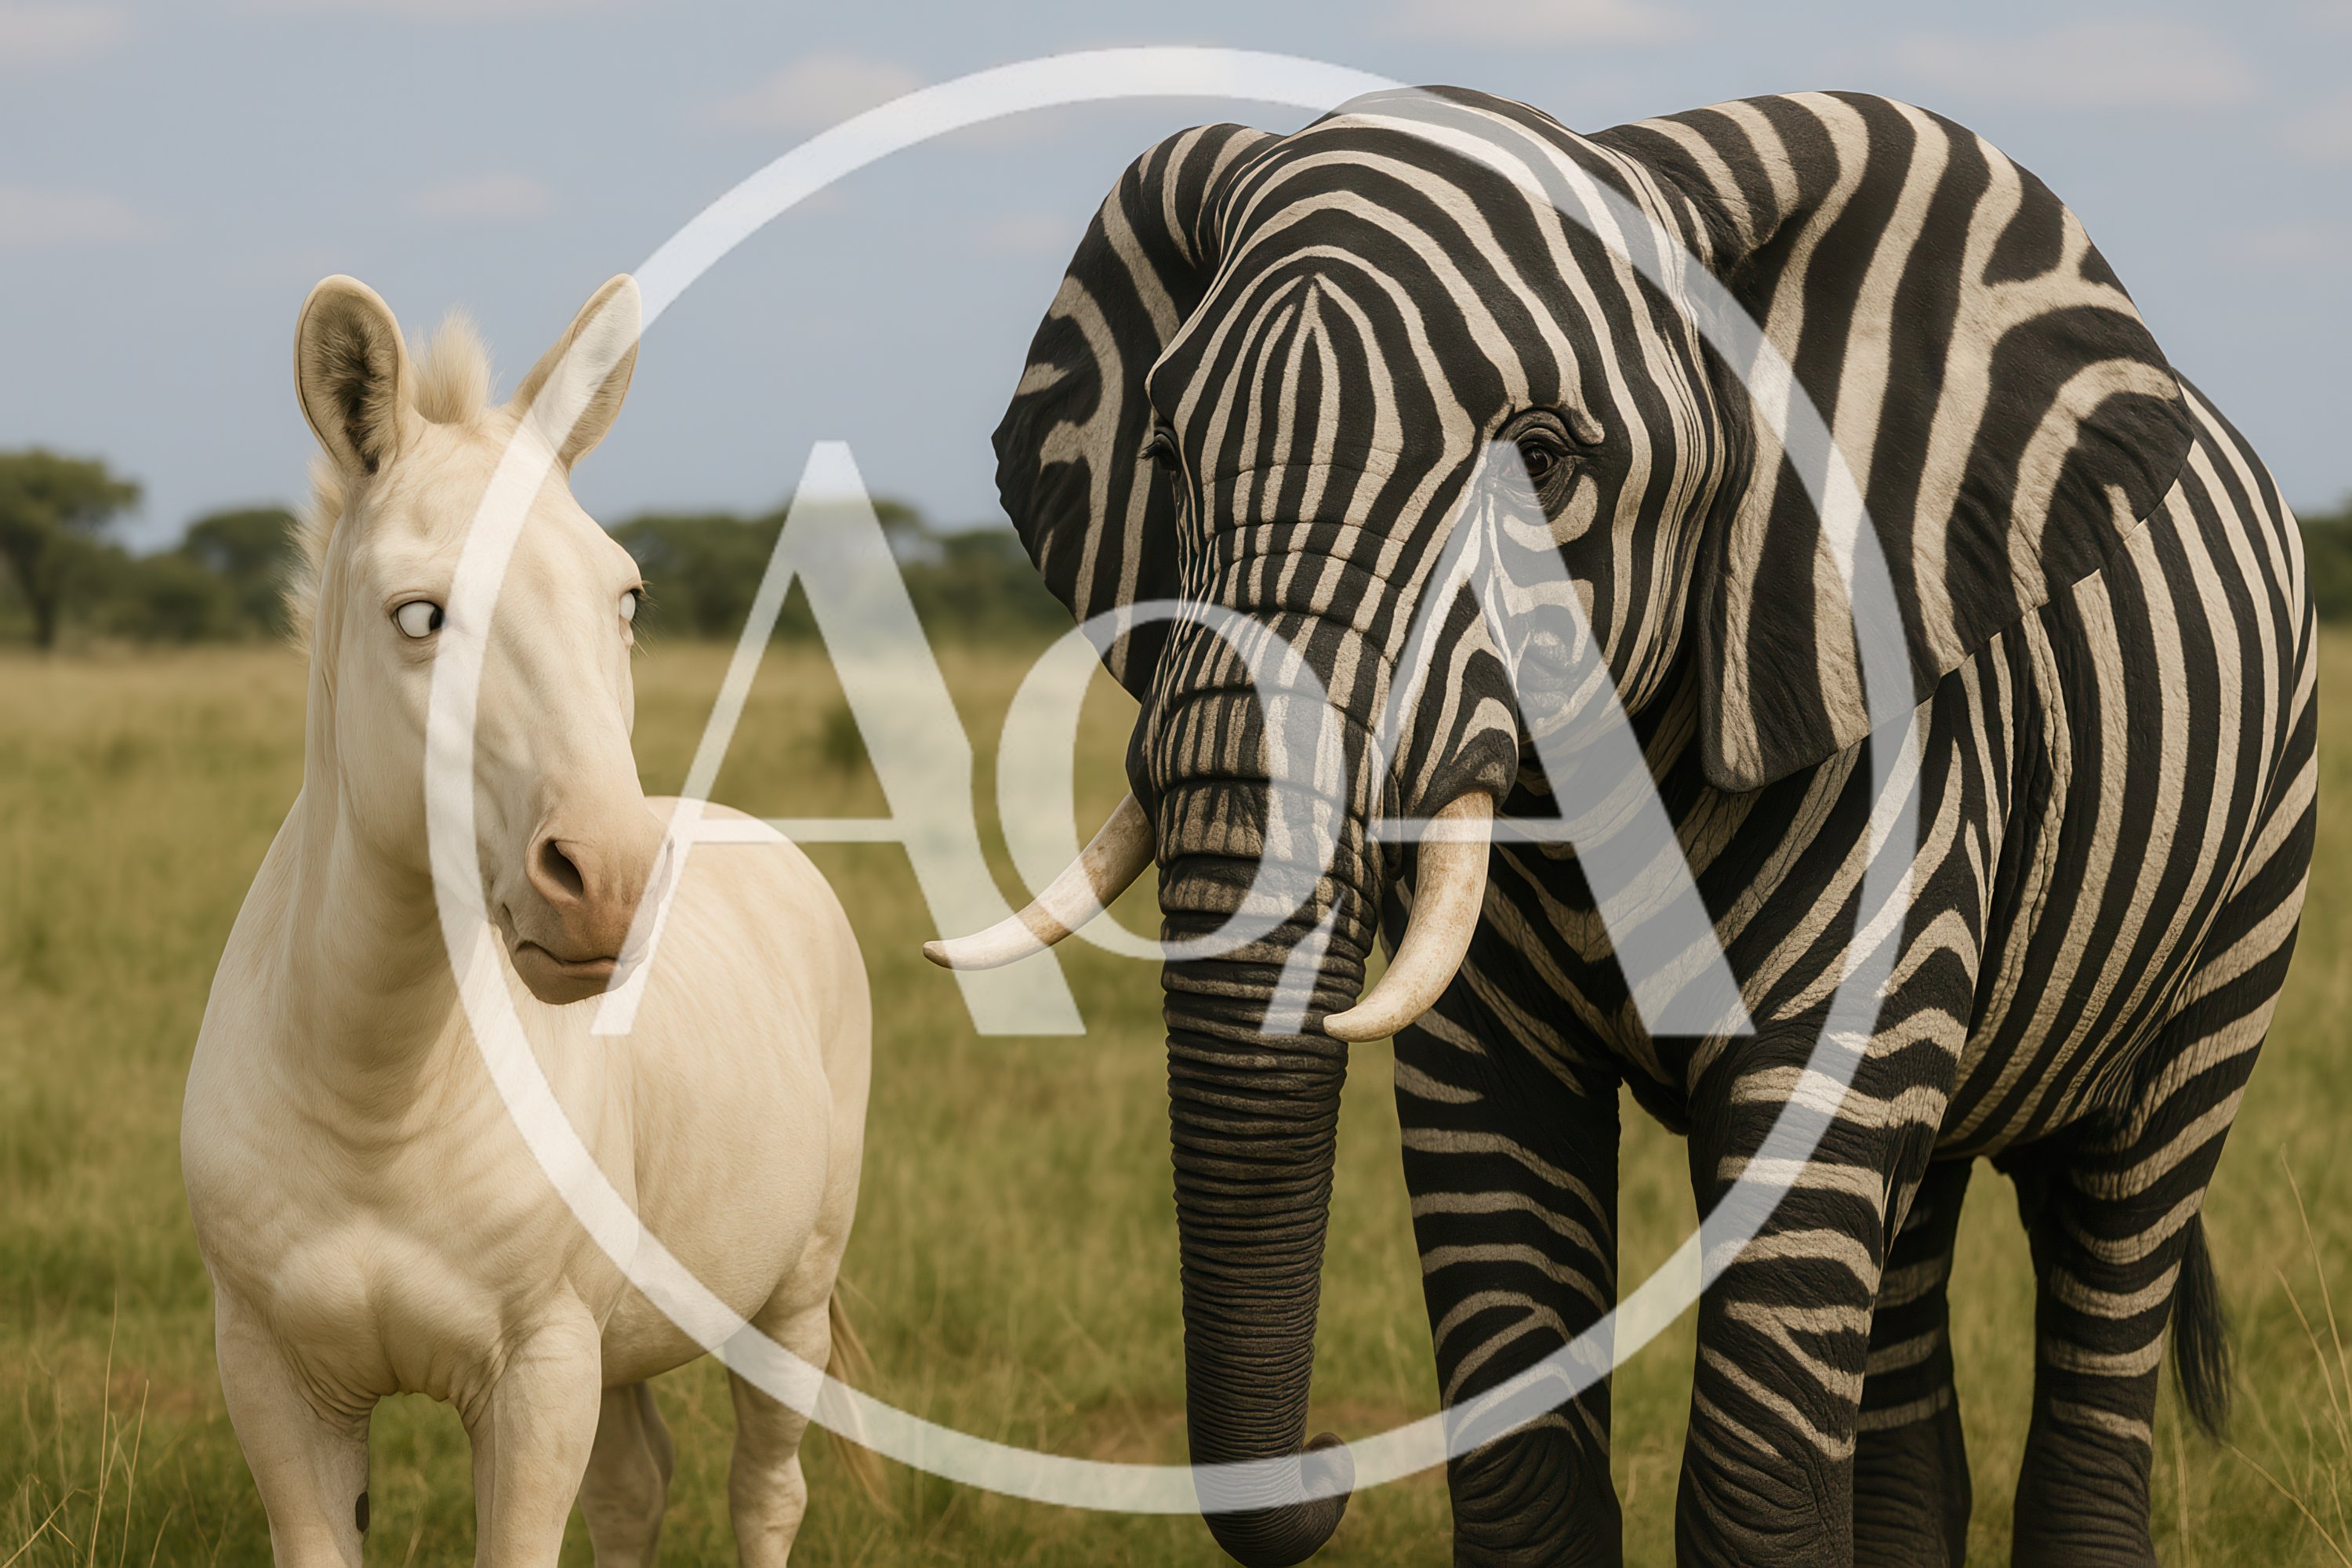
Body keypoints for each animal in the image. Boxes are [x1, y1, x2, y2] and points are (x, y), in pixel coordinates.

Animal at [928, 87, 2316, 1566]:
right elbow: (1518, 1405)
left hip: (2253, 874)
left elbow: (1760, 1441)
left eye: (1541, 463)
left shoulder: (1892, 762)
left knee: (2124, 1217)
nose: (1326, 1465)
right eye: (1169, 460)